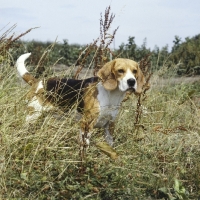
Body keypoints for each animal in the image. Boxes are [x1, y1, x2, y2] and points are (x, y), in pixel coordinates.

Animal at [14, 52, 145, 148]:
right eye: (120, 70)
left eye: (135, 71)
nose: (132, 81)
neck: (112, 96)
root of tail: (39, 82)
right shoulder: (86, 124)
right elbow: (85, 145)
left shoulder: (109, 126)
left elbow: (110, 145)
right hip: (32, 116)